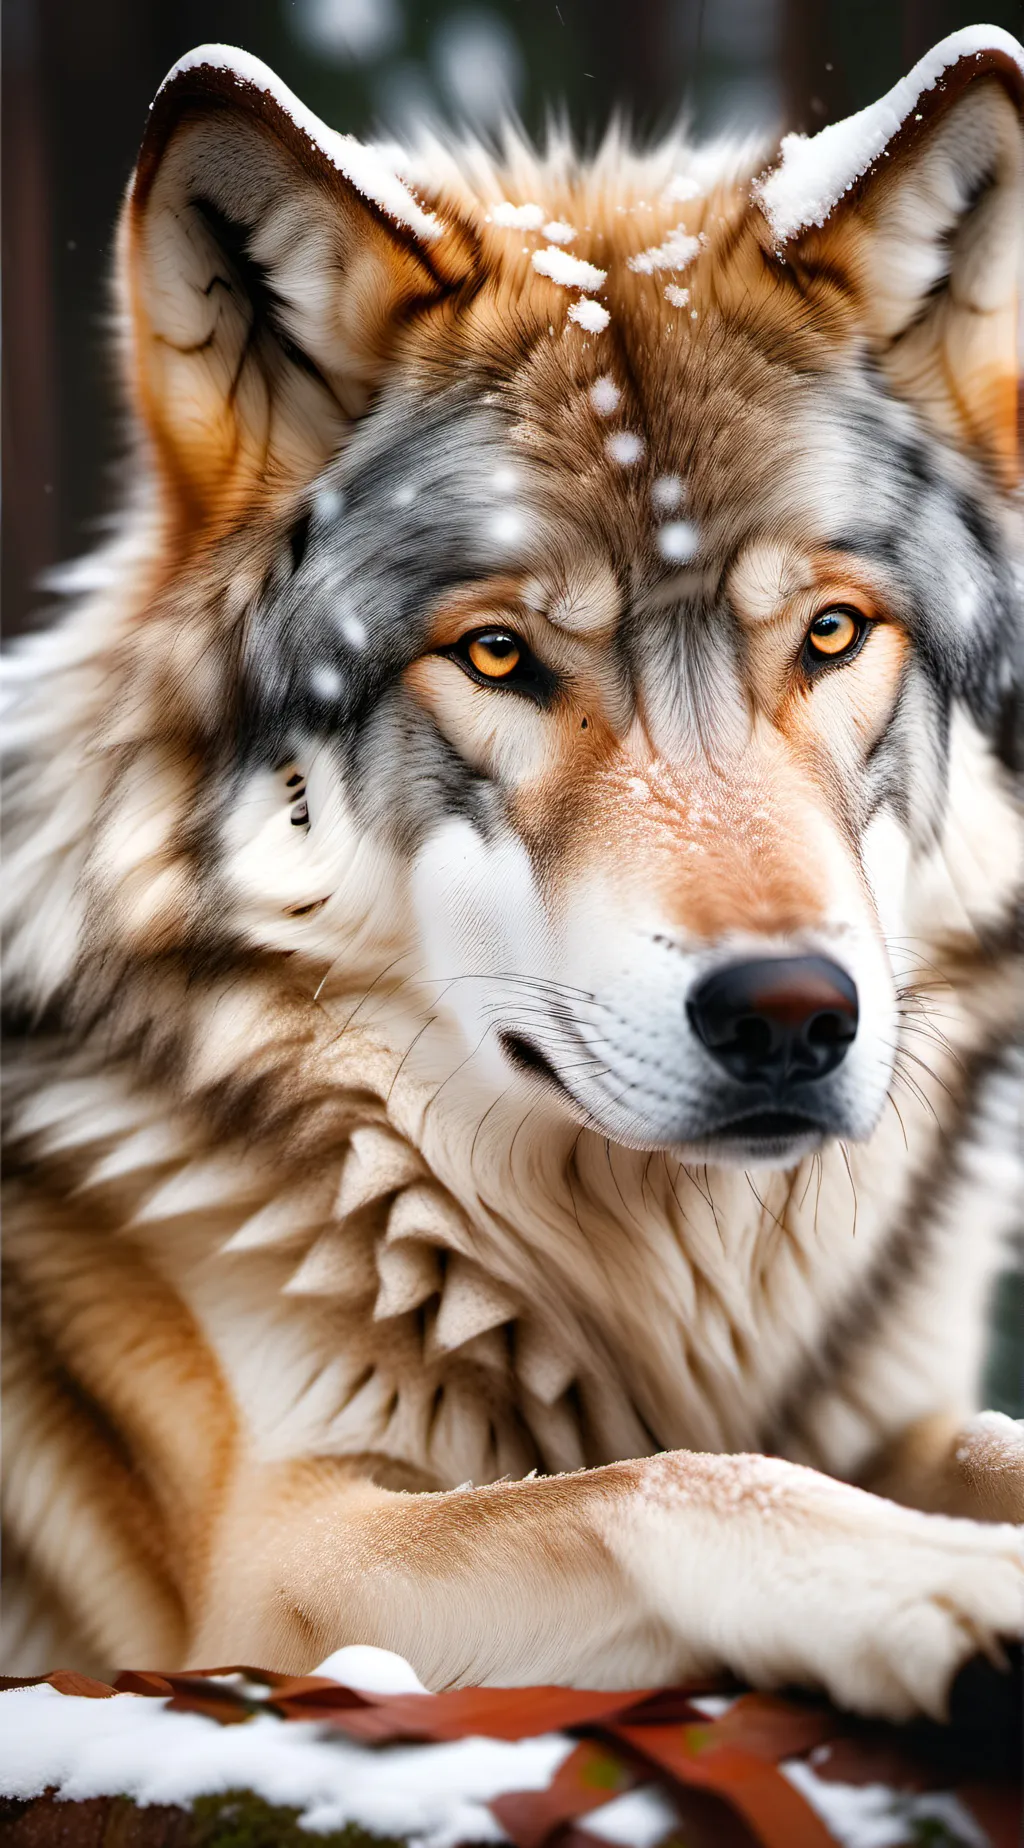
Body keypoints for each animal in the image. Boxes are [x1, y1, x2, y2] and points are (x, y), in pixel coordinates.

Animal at [3, 27, 1023, 1719]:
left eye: (829, 632)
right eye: (497, 656)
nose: (791, 1016)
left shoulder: (885, 1412)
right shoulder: (270, 1563)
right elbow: (673, 1479)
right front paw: (949, 1584)